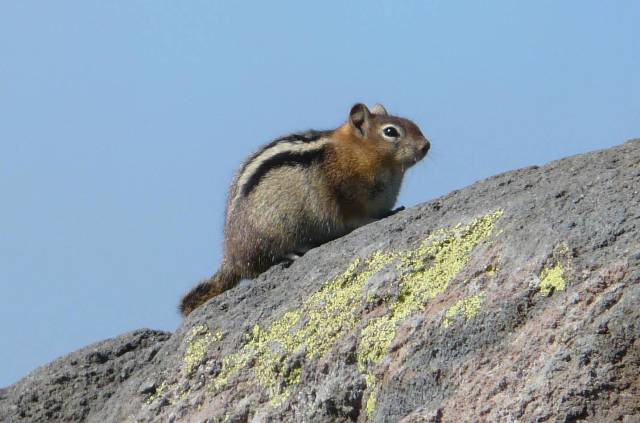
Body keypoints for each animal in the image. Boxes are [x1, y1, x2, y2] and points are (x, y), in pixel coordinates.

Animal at [179, 103, 430, 316]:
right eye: (390, 132)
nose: (426, 145)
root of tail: (230, 257)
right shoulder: (347, 197)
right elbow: (358, 218)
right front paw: (381, 217)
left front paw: (393, 210)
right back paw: (292, 253)